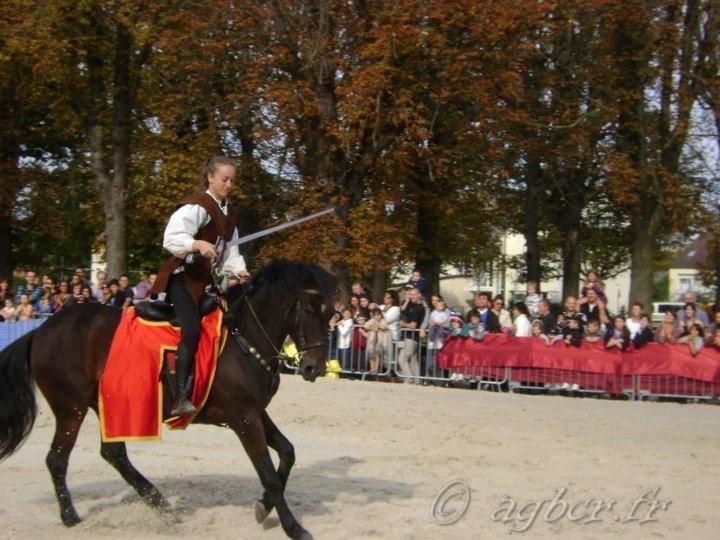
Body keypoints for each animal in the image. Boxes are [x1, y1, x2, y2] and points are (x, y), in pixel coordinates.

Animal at [0, 260, 338, 536]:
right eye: (309, 310)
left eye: (331, 314)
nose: (315, 367)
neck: (243, 337)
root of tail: (43, 329)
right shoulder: (243, 418)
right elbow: (268, 474)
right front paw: (294, 527)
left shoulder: (256, 412)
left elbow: (288, 452)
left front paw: (264, 506)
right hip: (71, 406)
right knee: (57, 459)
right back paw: (71, 517)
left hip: (107, 404)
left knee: (114, 455)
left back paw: (162, 506)